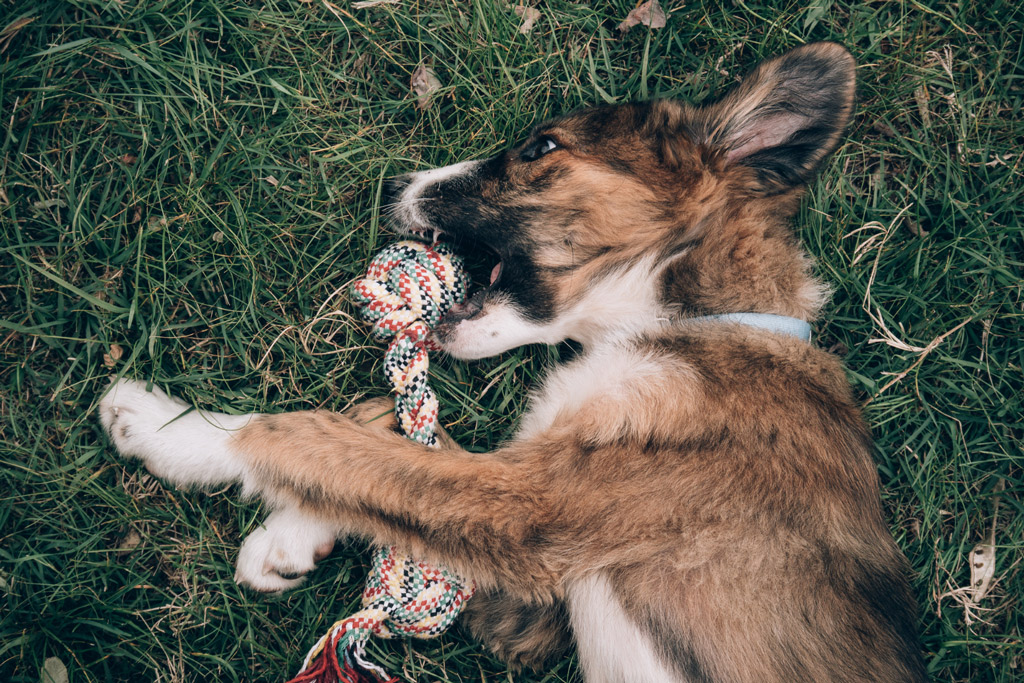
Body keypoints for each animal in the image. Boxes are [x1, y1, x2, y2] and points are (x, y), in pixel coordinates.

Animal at [97, 42, 929, 683]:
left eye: (539, 149)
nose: (394, 185)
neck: (694, 323)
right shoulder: (527, 601)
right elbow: (385, 436)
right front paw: (294, 535)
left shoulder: (544, 509)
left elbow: (317, 437)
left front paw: (171, 427)